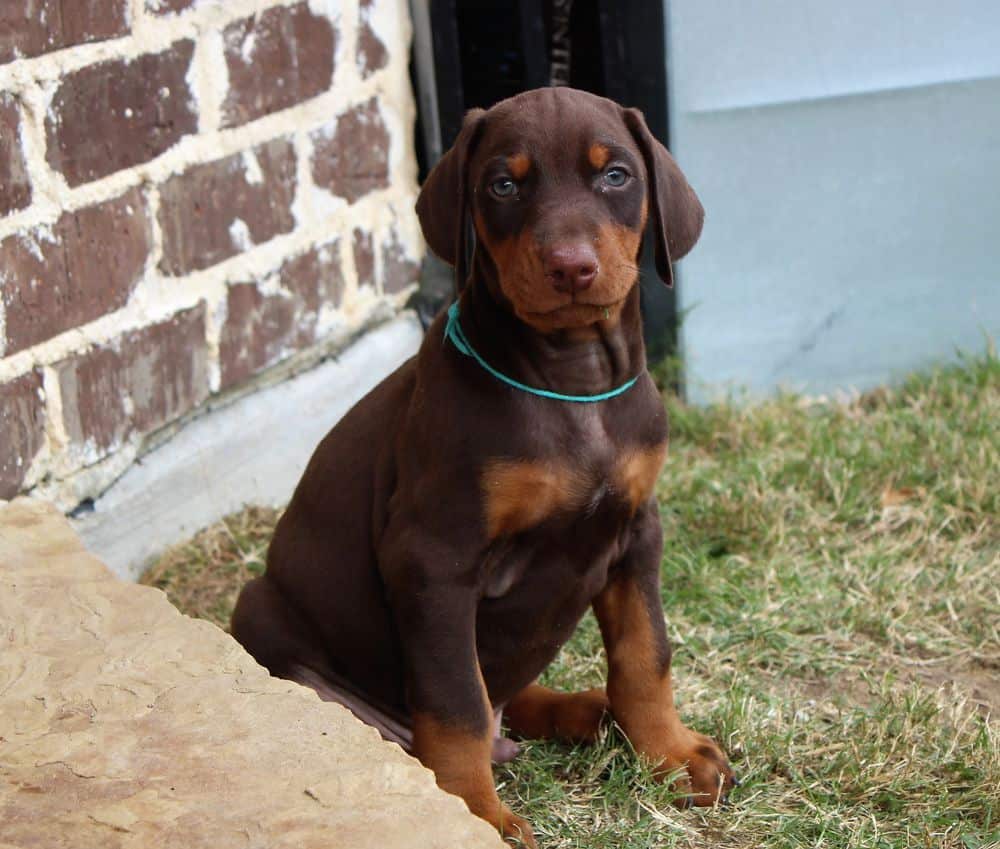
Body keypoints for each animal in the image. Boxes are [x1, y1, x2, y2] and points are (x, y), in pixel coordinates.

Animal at [232, 86, 736, 840]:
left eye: (615, 175)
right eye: (503, 184)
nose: (571, 266)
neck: (571, 380)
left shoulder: (637, 531)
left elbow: (646, 654)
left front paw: (670, 754)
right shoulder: (433, 560)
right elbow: (454, 700)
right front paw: (475, 810)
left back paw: (585, 710)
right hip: (265, 617)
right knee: (432, 714)